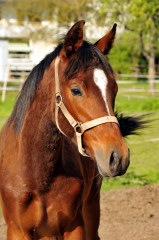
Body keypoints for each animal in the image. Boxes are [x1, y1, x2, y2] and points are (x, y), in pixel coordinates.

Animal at [0, 21, 143, 240]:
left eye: (115, 89)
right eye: (76, 90)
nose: (118, 157)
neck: (38, 176)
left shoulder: (75, 226)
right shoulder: (17, 231)